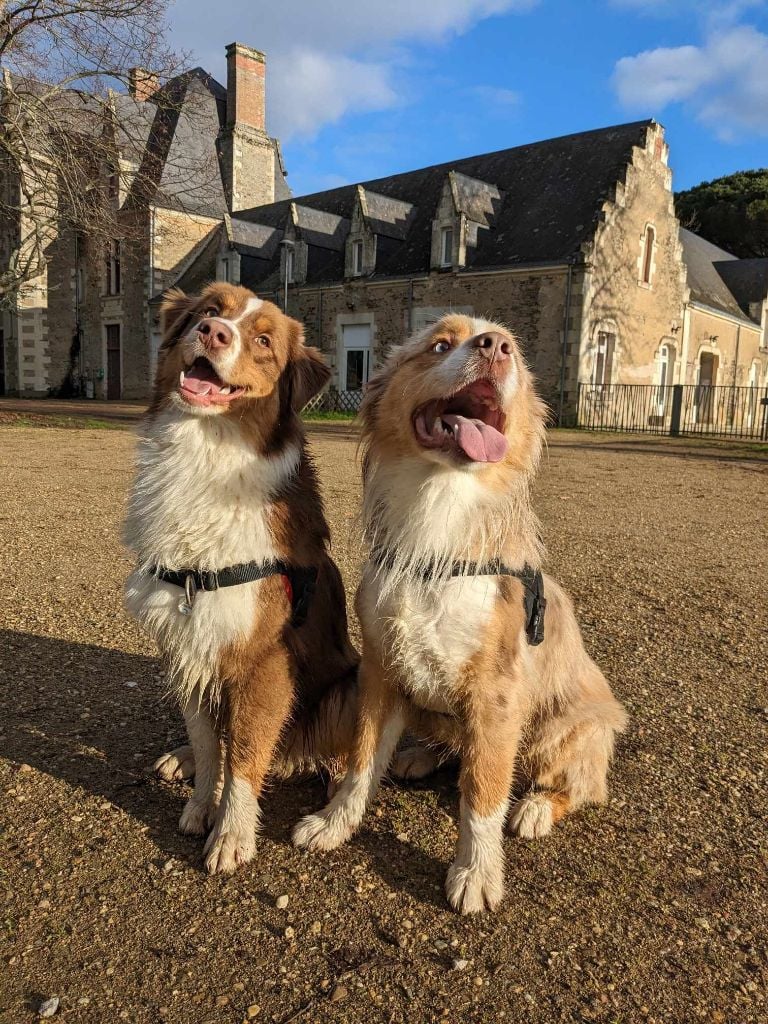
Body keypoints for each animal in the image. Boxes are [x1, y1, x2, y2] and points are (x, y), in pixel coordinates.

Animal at [123, 284, 358, 876]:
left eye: (265, 341)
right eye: (210, 311)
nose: (212, 333)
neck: (206, 455)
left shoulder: (263, 661)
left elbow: (247, 756)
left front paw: (232, 834)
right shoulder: (187, 642)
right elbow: (212, 746)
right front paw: (201, 804)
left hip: (349, 682)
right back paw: (179, 758)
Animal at [294, 309, 630, 913]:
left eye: (514, 350)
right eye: (440, 343)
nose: (494, 346)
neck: (439, 520)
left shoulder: (496, 696)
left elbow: (483, 793)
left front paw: (476, 873)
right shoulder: (381, 673)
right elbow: (359, 763)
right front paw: (334, 824)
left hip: (565, 728)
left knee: (582, 787)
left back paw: (537, 807)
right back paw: (420, 755)